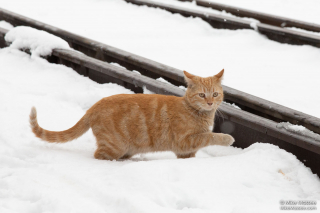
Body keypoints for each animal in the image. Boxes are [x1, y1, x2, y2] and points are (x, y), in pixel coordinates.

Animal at [29, 70, 235, 160]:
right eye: (201, 95)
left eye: (215, 94)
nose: (210, 103)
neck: (197, 112)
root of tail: (94, 106)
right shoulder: (185, 140)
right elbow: (210, 136)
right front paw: (227, 138)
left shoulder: (185, 150)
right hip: (115, 145)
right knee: (98, 155)